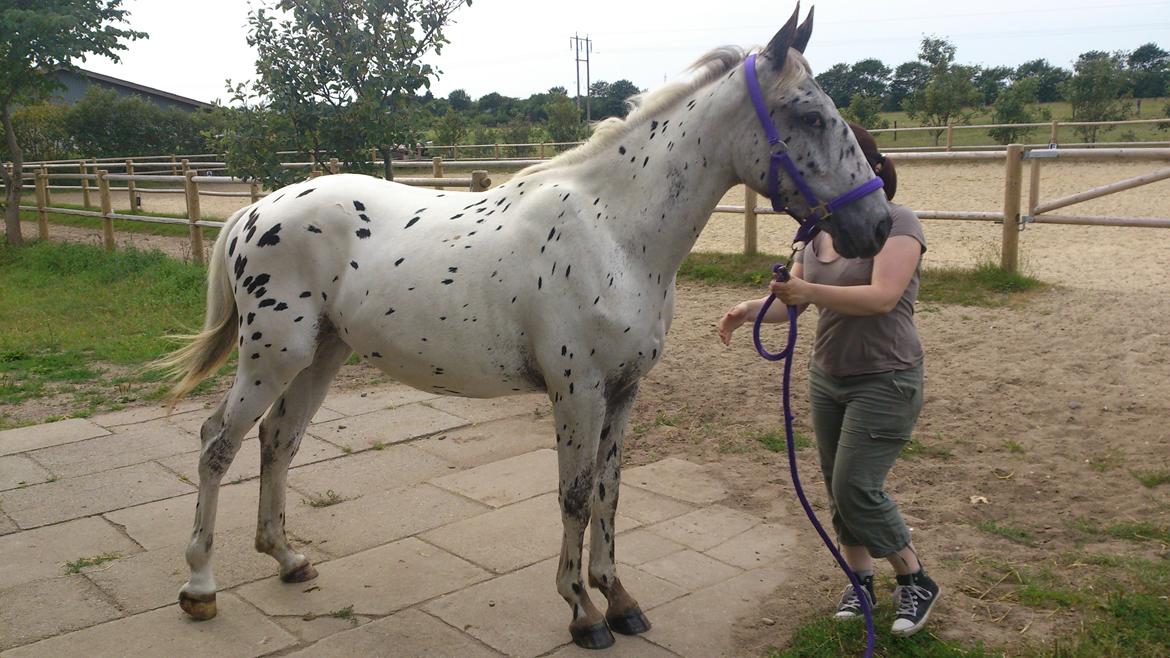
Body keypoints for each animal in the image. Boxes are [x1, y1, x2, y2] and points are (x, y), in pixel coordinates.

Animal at [160, 7, 889, 646]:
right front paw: (582, 612)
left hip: (320, 356)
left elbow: (610, 492)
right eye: (811, 116)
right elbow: (574, 495)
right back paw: (200, 587)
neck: (614, 231)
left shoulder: (623, 391)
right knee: (217, 444)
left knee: (278, 442)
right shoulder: (577, 390)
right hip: (272, 355)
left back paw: (287, 559)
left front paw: (619, 598)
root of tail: (256, 210)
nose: (877, 225)